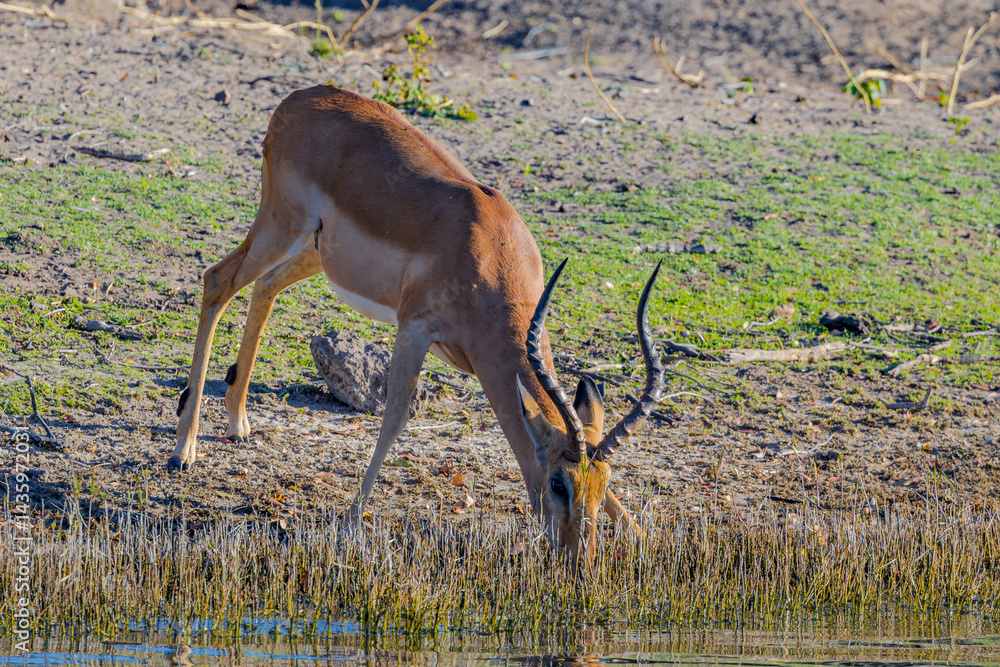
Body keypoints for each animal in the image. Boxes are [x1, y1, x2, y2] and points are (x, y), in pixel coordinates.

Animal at [170, 84, 665, 566]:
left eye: (601, 485)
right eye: (558, 482)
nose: (577, 558)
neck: (486, 248)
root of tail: (296, 100)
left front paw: (643, 538)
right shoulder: (414, 330)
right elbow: (393, 418)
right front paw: (350, 522)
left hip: (312, 251)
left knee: (264, 287)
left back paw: (237, 421)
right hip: (280, 226)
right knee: (217, 281)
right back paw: (183, 451)